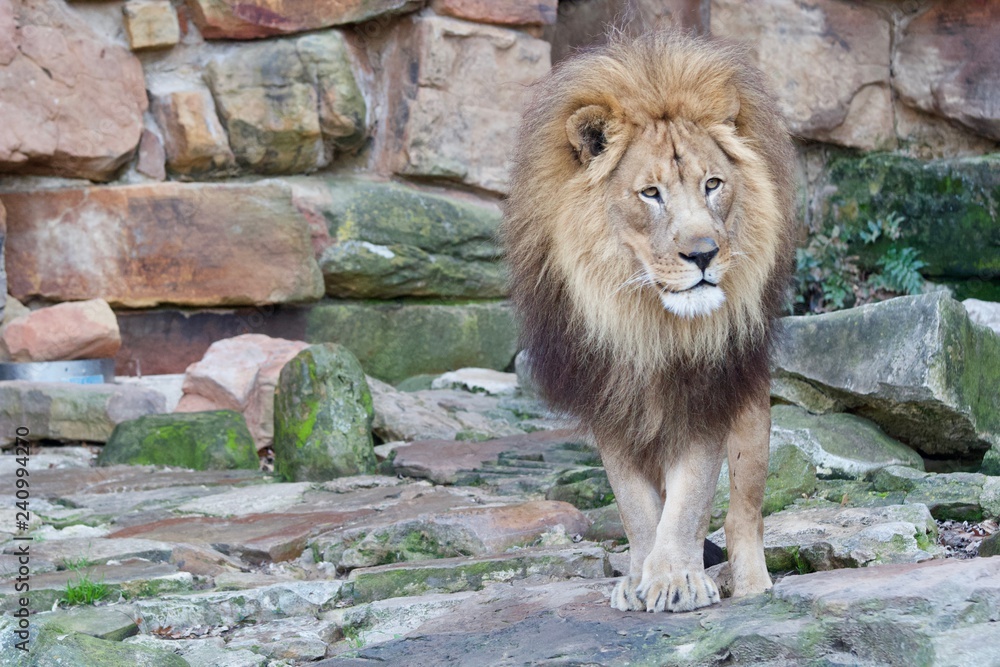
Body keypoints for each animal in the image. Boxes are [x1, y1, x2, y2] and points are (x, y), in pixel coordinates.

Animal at [500, 31, 796, 613]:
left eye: (713, 184)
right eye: (650, 193)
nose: (704, 254)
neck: (649, 324)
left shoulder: (706, 391)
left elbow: (690, 498)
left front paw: (677, 579)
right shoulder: (608, 398)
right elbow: (637, 506)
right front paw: (642, 577)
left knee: (743, 512)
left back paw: (752, 586)